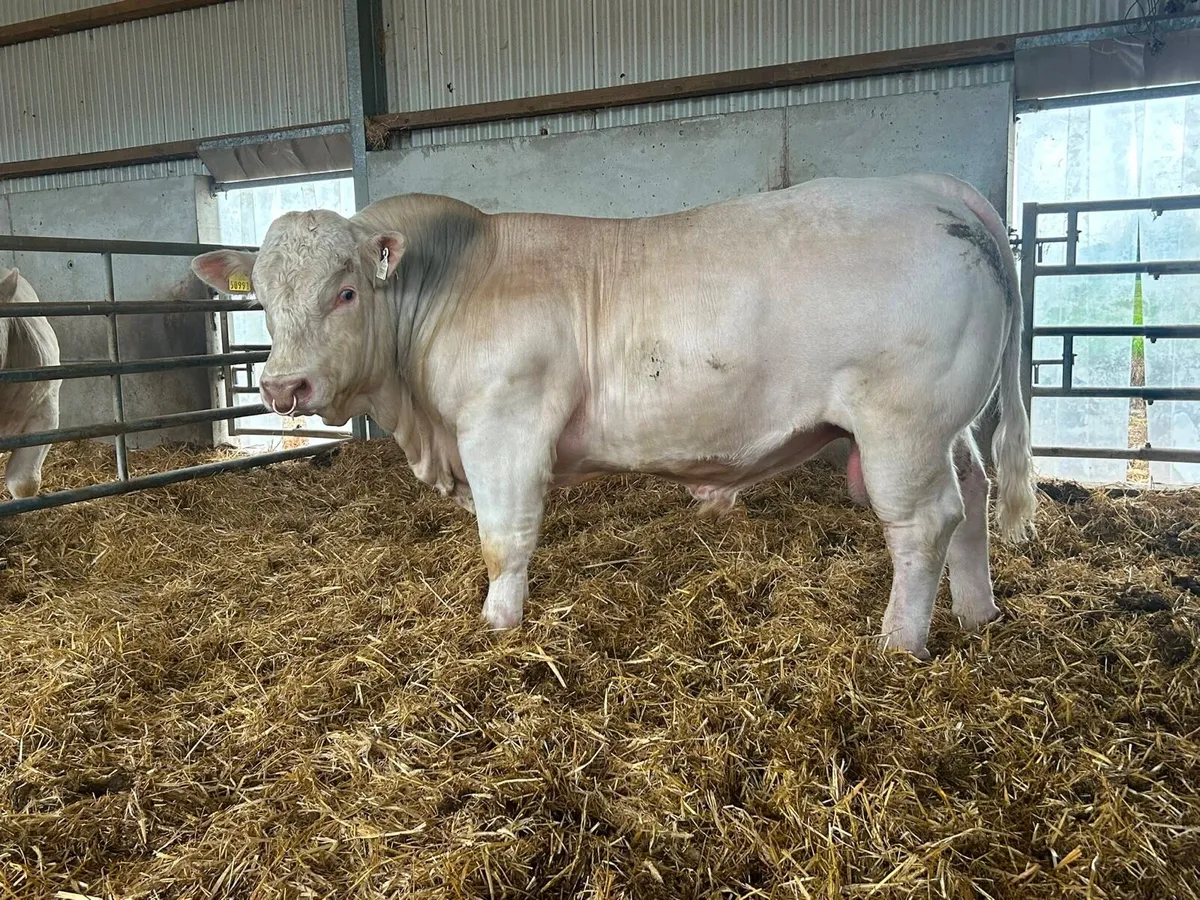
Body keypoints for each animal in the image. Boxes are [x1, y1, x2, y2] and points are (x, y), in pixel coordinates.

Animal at [191, 173, 1037, 659]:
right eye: (261, 299)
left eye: (345, 291)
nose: (283, 387)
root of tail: (937, 192)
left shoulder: (504, 426)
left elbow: (504, 541)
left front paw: (498, 627)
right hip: (945, 424)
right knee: (973, 493)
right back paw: (977, 612)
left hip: (902, 423)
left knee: (923, 522)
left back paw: (899, 645)